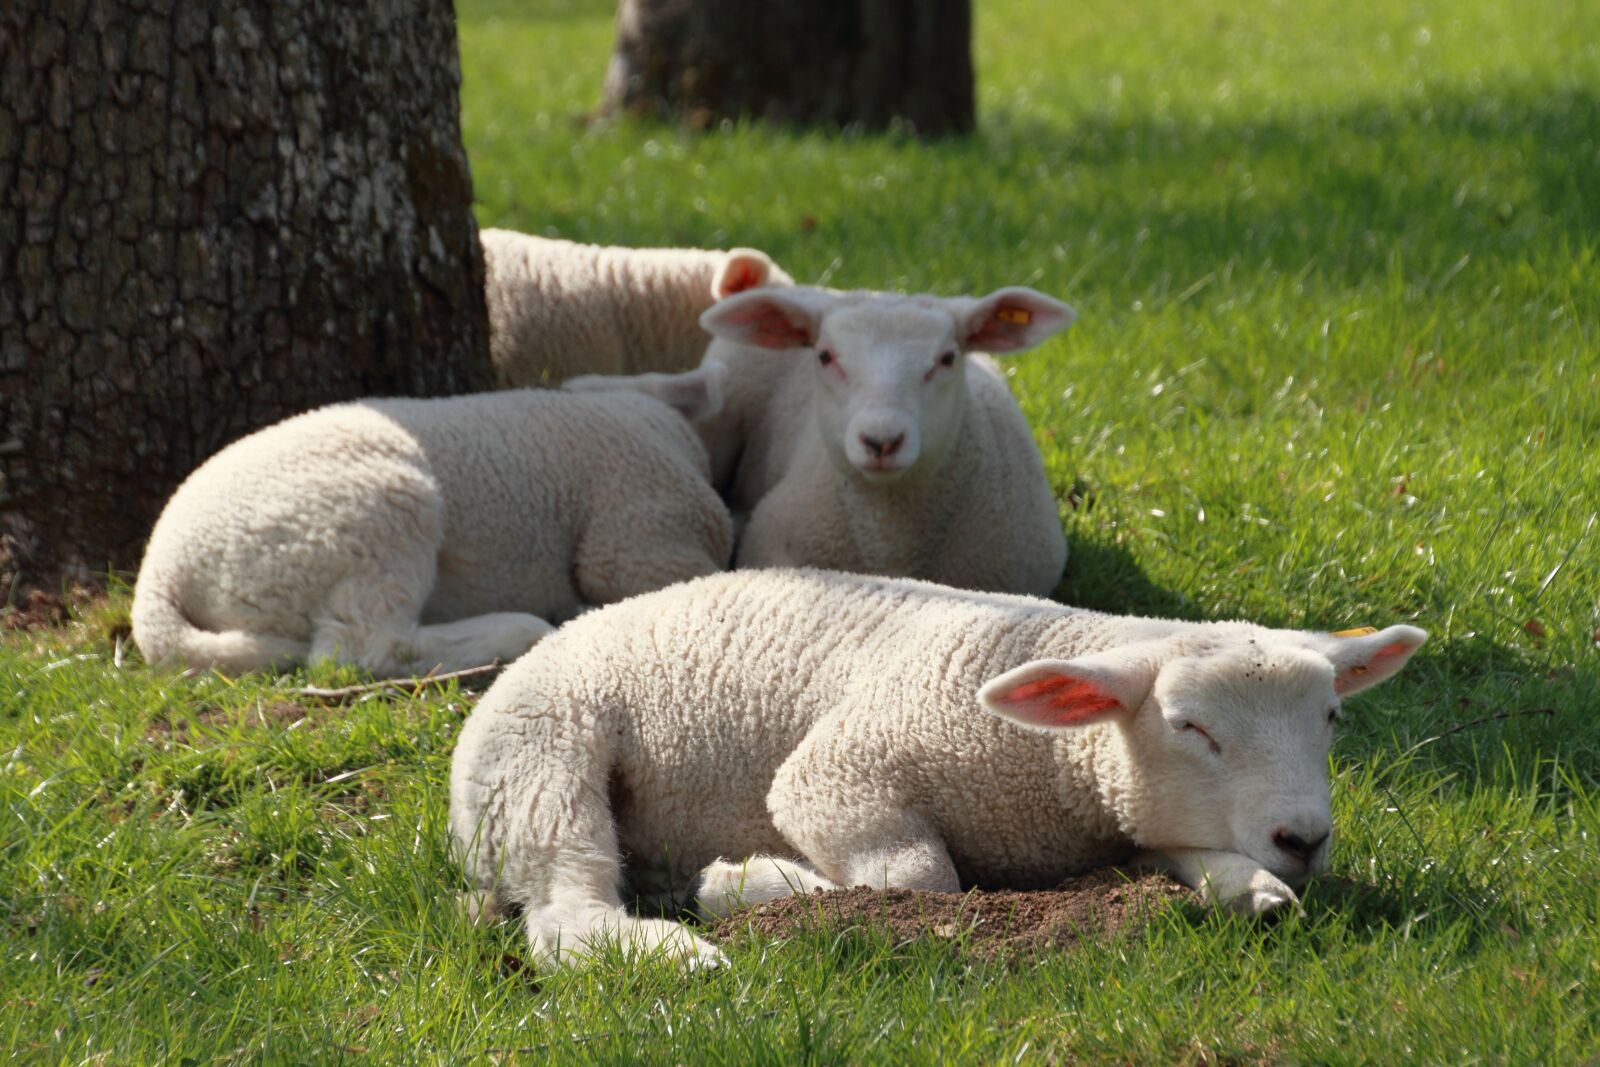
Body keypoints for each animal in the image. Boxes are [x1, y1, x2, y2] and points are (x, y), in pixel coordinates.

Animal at [449, 568, 1426, 968]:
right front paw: (753, 884)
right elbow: (923, 881)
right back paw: (683, 944)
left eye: (1332, 717)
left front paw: (1250, 886)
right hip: (541, 762)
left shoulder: (1124, 814)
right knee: (567, 915)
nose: (1303, 836)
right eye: (1191, 726)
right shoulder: (839, 774)